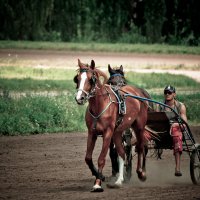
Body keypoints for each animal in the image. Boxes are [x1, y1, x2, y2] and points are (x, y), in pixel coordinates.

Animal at [74, 58, 149, 191]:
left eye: (91, 79)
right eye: (77, 78)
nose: (80, 98)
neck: (100, 106)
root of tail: (139, 93)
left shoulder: (108, 133)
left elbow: (101, 159)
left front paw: (97, 183)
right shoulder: (92, 133)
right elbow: (88, 158)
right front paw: (100, 176)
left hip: (139, 127)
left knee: (141, 147)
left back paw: (141, 173)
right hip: (118, 132)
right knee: (122, 153)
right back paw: (119, 181)